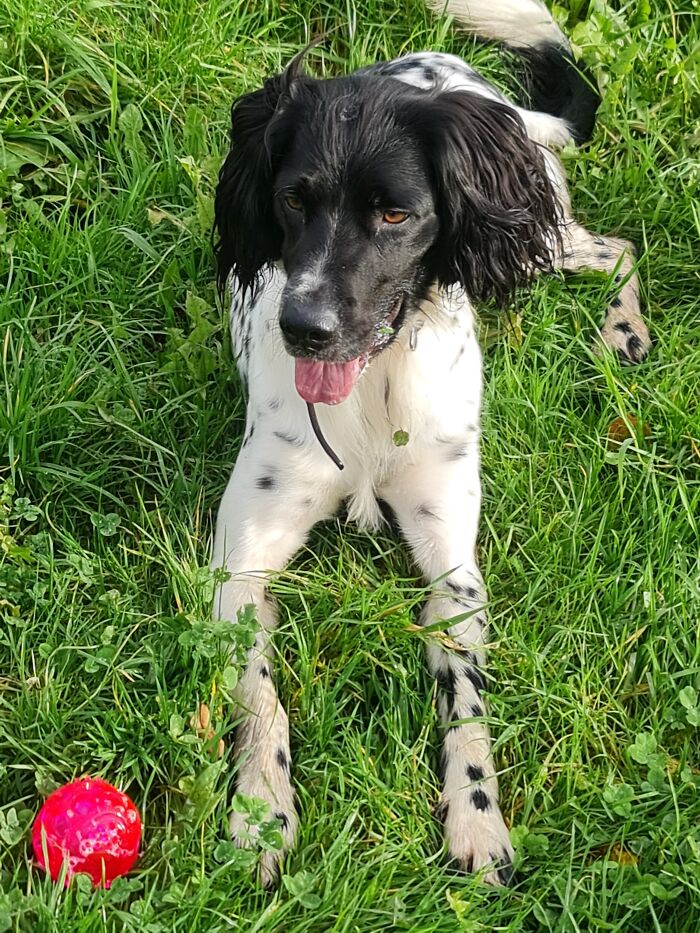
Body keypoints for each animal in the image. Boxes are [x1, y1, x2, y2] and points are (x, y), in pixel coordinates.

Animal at [212, 0, 652, 888]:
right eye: (290, 200)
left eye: (395, 213)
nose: (304, 327)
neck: (372, 392)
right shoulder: (242, 559)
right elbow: (258, 688)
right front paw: (262, 806)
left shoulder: (455, 568)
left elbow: (469, 705)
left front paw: (479, 819)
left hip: (537, 234)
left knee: (618, 247)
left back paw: (624, 328)